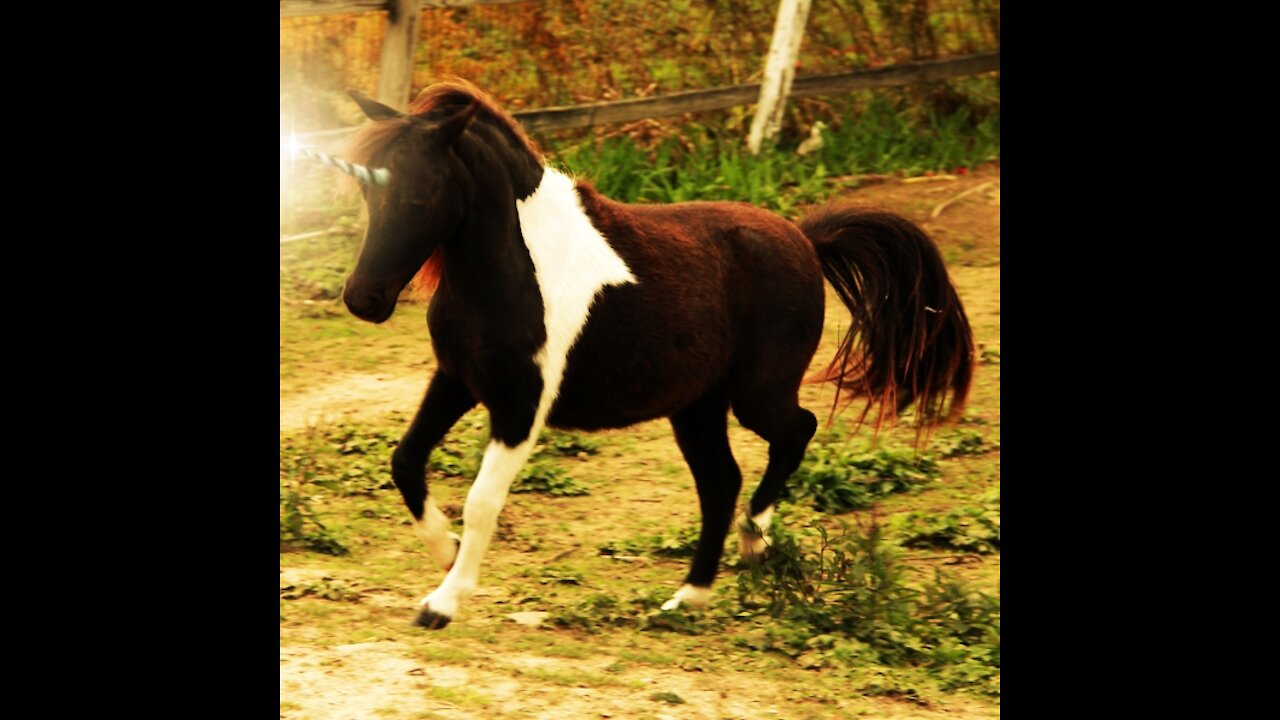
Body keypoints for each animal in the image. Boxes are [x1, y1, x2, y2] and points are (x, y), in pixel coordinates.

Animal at [330, 81, 967, 625]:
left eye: (422, 194)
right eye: (365, 188)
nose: (364, 299)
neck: (515, 268)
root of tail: (807, 241)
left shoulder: (522, 406)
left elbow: (483, 500)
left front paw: (443, 602)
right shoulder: (457, 380)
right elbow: (405, 461)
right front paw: (446, 552)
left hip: (756, 395)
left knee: (795, 432)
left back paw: (755, 542)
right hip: (697, 408)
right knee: (722, 482)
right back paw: (689, 597)